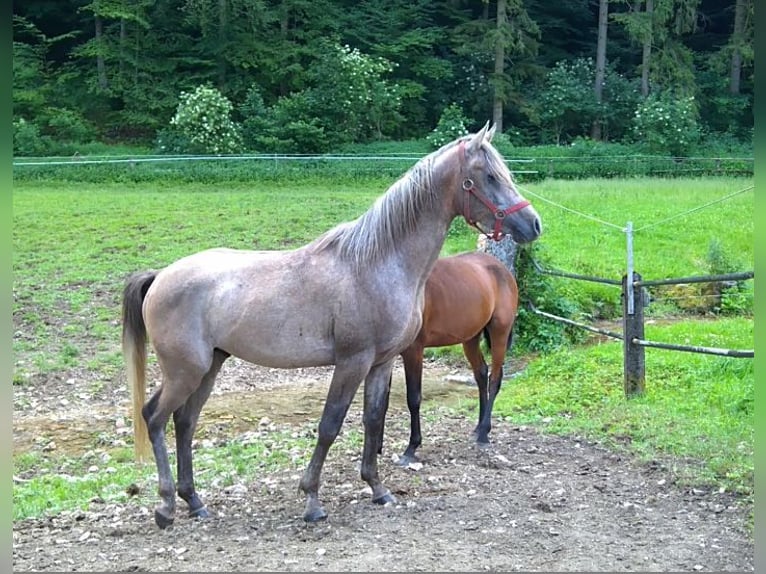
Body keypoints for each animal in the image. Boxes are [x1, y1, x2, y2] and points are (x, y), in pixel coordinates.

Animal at [400, 252, 520, 468]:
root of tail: (501, 269)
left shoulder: (414, 351)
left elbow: (413, 398)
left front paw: (411, 448)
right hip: (470, 338)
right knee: (481, 374)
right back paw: (479, 428)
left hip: (499, 332)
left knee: (495, 379)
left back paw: (484, 434)